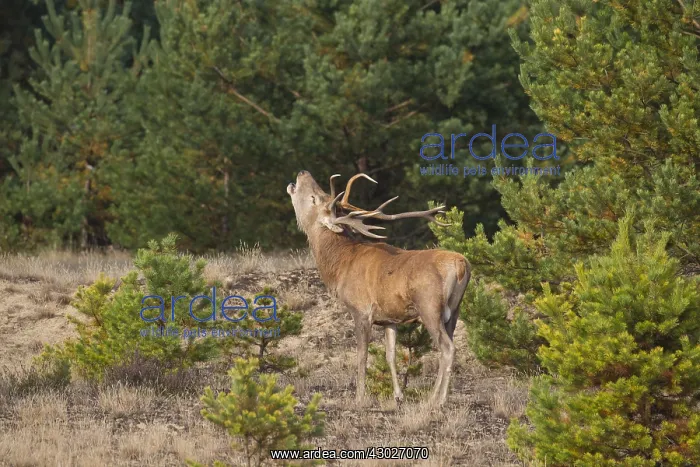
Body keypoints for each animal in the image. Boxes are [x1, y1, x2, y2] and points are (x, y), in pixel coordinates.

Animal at [287, 170, 470, 406]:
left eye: (314, 198)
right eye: (321, 194)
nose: (303, 172)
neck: (340, 267)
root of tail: (461, 265)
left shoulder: (361, 310)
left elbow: (362, 355)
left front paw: (359, 397)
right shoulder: (389, 318)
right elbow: (389, 355)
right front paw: (398, 395)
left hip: (429, 306)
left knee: (447, 348)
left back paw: (436, 399)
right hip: (454, 311)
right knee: (445, 346)